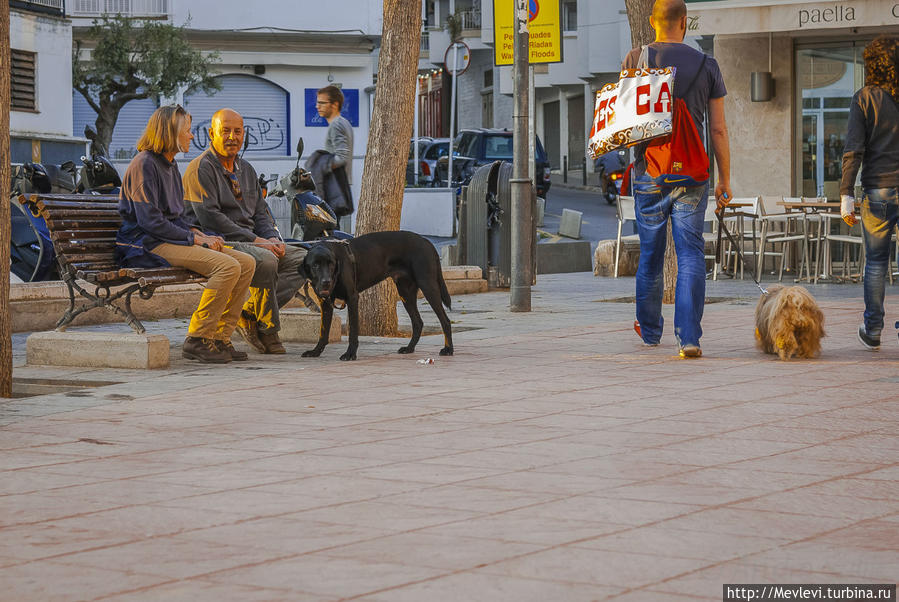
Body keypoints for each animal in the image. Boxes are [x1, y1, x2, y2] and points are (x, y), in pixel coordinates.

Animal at [300, 231, 454, 360]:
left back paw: (448, 349)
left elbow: (353, 331)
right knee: (418, 322)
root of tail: (426, 241)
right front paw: (316, 351)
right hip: (405, 293)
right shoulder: (325, 303)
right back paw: (409, 348)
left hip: (428, 286)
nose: (326, 282)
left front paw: (350, 354)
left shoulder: (352, 298)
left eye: (331, 264)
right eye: (315, 265)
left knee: (445, 320)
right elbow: (323, 332)